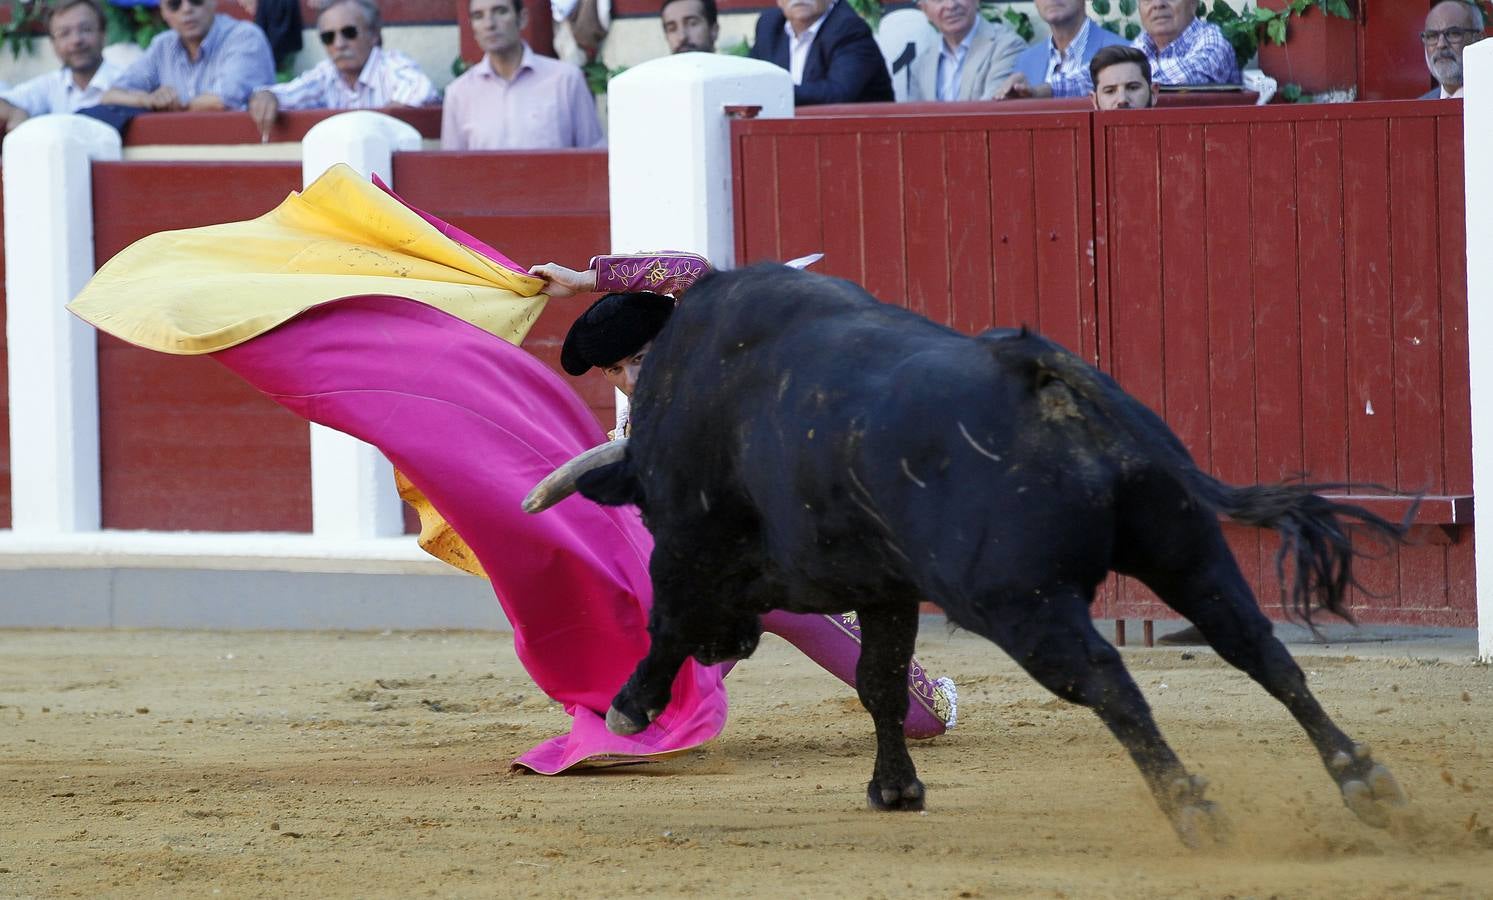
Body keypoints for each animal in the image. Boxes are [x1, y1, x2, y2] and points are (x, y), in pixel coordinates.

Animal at [525, 264, 1409, 847]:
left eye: (644, 506)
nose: (730, 646)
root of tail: (1039, 374)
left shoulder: (689, 545)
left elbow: (667, 620)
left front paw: (628, 709)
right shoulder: (883, 584)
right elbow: (880, 683)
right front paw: (895, 790)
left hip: (1020, 601)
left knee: (1107, 680)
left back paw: (1192, 807)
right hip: (1185, 550)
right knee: (1257, 648)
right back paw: (1364, 781)